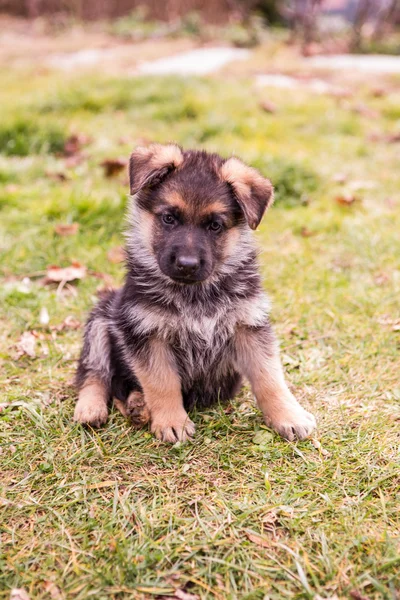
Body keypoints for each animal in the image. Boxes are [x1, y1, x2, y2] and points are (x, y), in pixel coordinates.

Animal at [72, 145, 316, 442]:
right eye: (169, 218)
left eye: (215, 225)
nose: (187, 264)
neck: (195, 293)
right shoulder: (146, 331)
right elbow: (162, 382)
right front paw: (172, 421)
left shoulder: (249, 325)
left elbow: (269, 377)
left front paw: (288, 416)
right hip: (101, 316)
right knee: (95, 373)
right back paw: (92, 408)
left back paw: (136, 404)